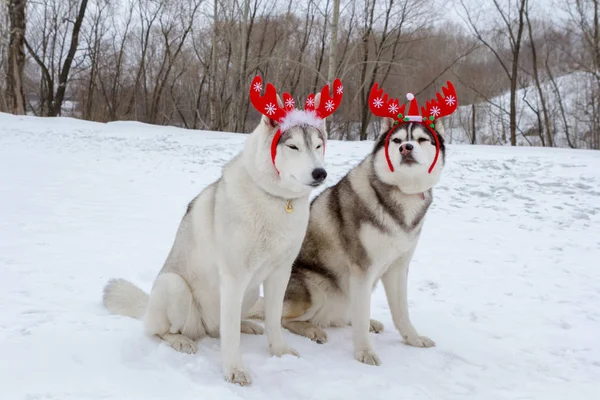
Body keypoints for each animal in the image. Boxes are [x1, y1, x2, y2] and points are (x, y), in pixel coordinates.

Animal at [103, 76, 342, 386]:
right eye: (293, 147)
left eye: (318, 145)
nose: (319, 173)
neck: (277, 200)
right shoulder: (233, 278)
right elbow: (230, 340)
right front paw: (235, 369)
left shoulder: (280, 274)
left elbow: (274, 320)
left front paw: (279, 351)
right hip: (174, 287)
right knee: (164, 331)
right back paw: (180, 340)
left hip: (250, 292)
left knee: (222, 328)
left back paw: (246, 325)